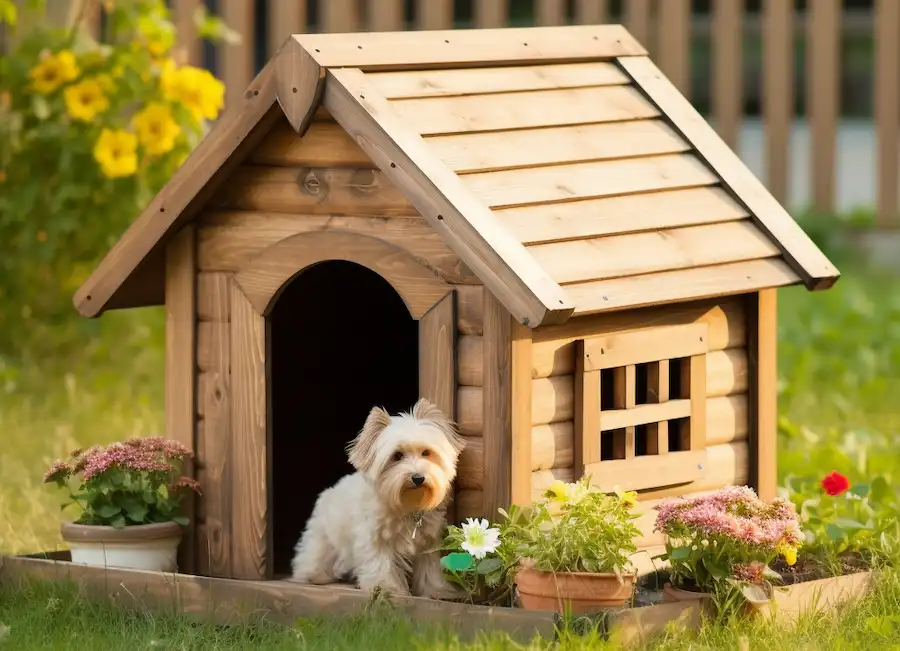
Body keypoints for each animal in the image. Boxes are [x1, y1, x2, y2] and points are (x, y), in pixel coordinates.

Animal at [290, 398, 464, 600]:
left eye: (426, 452)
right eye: (397, 456)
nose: (418, 477)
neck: (406, 505)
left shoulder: (427, 543)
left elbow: (430, 568)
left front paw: (437, 590)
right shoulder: (375, 539)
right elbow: (381, 565)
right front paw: (386, 589)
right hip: (323, 538)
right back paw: (312, 575)